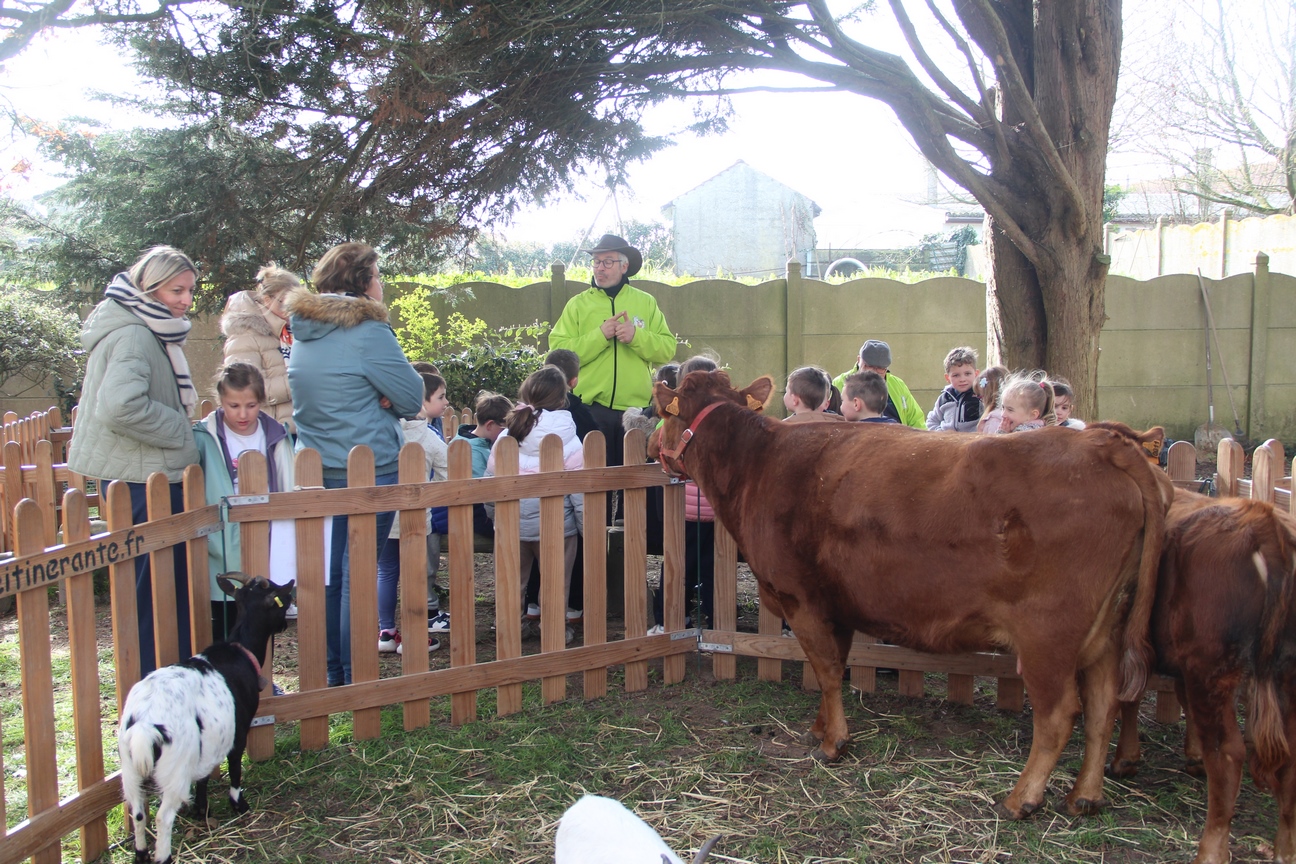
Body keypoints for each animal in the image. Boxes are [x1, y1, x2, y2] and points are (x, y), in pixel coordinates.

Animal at [118, 572, 294, 864]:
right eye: (282, 598)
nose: (286, 620)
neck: (240, 651)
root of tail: (144, 725)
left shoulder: (206, 744)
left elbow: (202, 776)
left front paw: (202, 809)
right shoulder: (239, 729)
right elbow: (235, 766)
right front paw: (239, 804)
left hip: (130, 768)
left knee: (138, 811)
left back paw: (141, 853)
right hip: (173, 769)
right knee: (163, 817)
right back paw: (164, 856)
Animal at [647, 371, 1172, 819]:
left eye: (661, 413)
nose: (651, 446)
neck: (758, 464)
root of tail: (1100, 443)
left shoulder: (802, 599)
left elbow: (827, 670)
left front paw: (833, 743)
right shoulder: (836, 604)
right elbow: (829, 667)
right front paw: (820, 727)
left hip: (1049, 633)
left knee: (1061, 714)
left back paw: (1021, 798)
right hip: (1107, 631)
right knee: (1105, 707)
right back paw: (1085, 796)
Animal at [1108, 489, 1296, 864]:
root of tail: (1263, 521)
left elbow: (1130, 696)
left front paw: (1126, 758)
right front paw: (1192, 755)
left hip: (1210, 668)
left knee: (1228, 753)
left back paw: (1211, 849)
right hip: (1285, 674)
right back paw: (1285, 849)